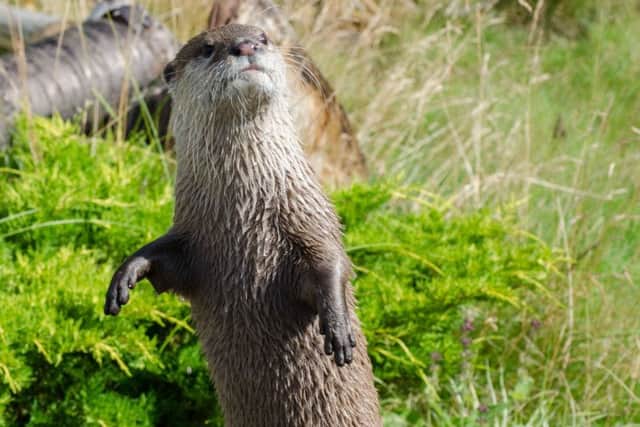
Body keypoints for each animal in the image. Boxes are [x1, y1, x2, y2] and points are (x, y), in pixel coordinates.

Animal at [104, 24, 381, 426]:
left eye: (263, 37)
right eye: (207, 48)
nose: (246, 46)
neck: (244, 206)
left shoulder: (310, 214)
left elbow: (332, 264)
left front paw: (338, 327)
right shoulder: (191, 235)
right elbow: (163, 257)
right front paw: (126, 275)